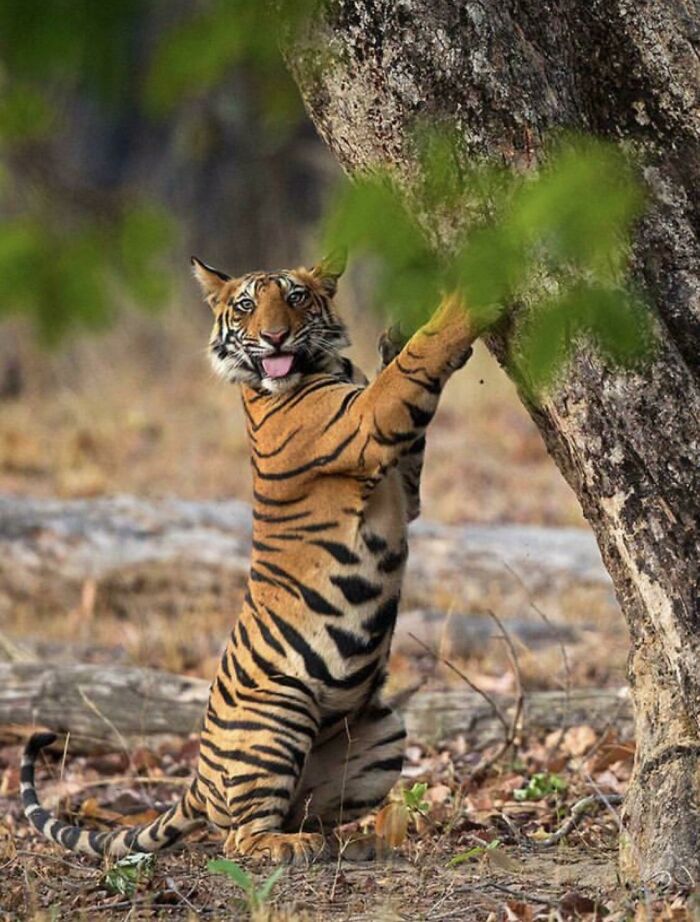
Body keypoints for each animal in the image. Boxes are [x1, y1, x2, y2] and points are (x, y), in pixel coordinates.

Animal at [21, 253, 476, 864]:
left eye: (297, 298)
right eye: (245, 306)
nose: (274, 336)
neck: (321, 364)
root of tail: (196, 782)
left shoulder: (403, 480)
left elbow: (410, 398)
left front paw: (396, 333)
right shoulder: (368, 422)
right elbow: (413, 364)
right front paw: (466, 301)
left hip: (382, 732)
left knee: (305, 811)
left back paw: (352, 843)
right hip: (279, 712)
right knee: (240, 836)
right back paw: (291, 847)